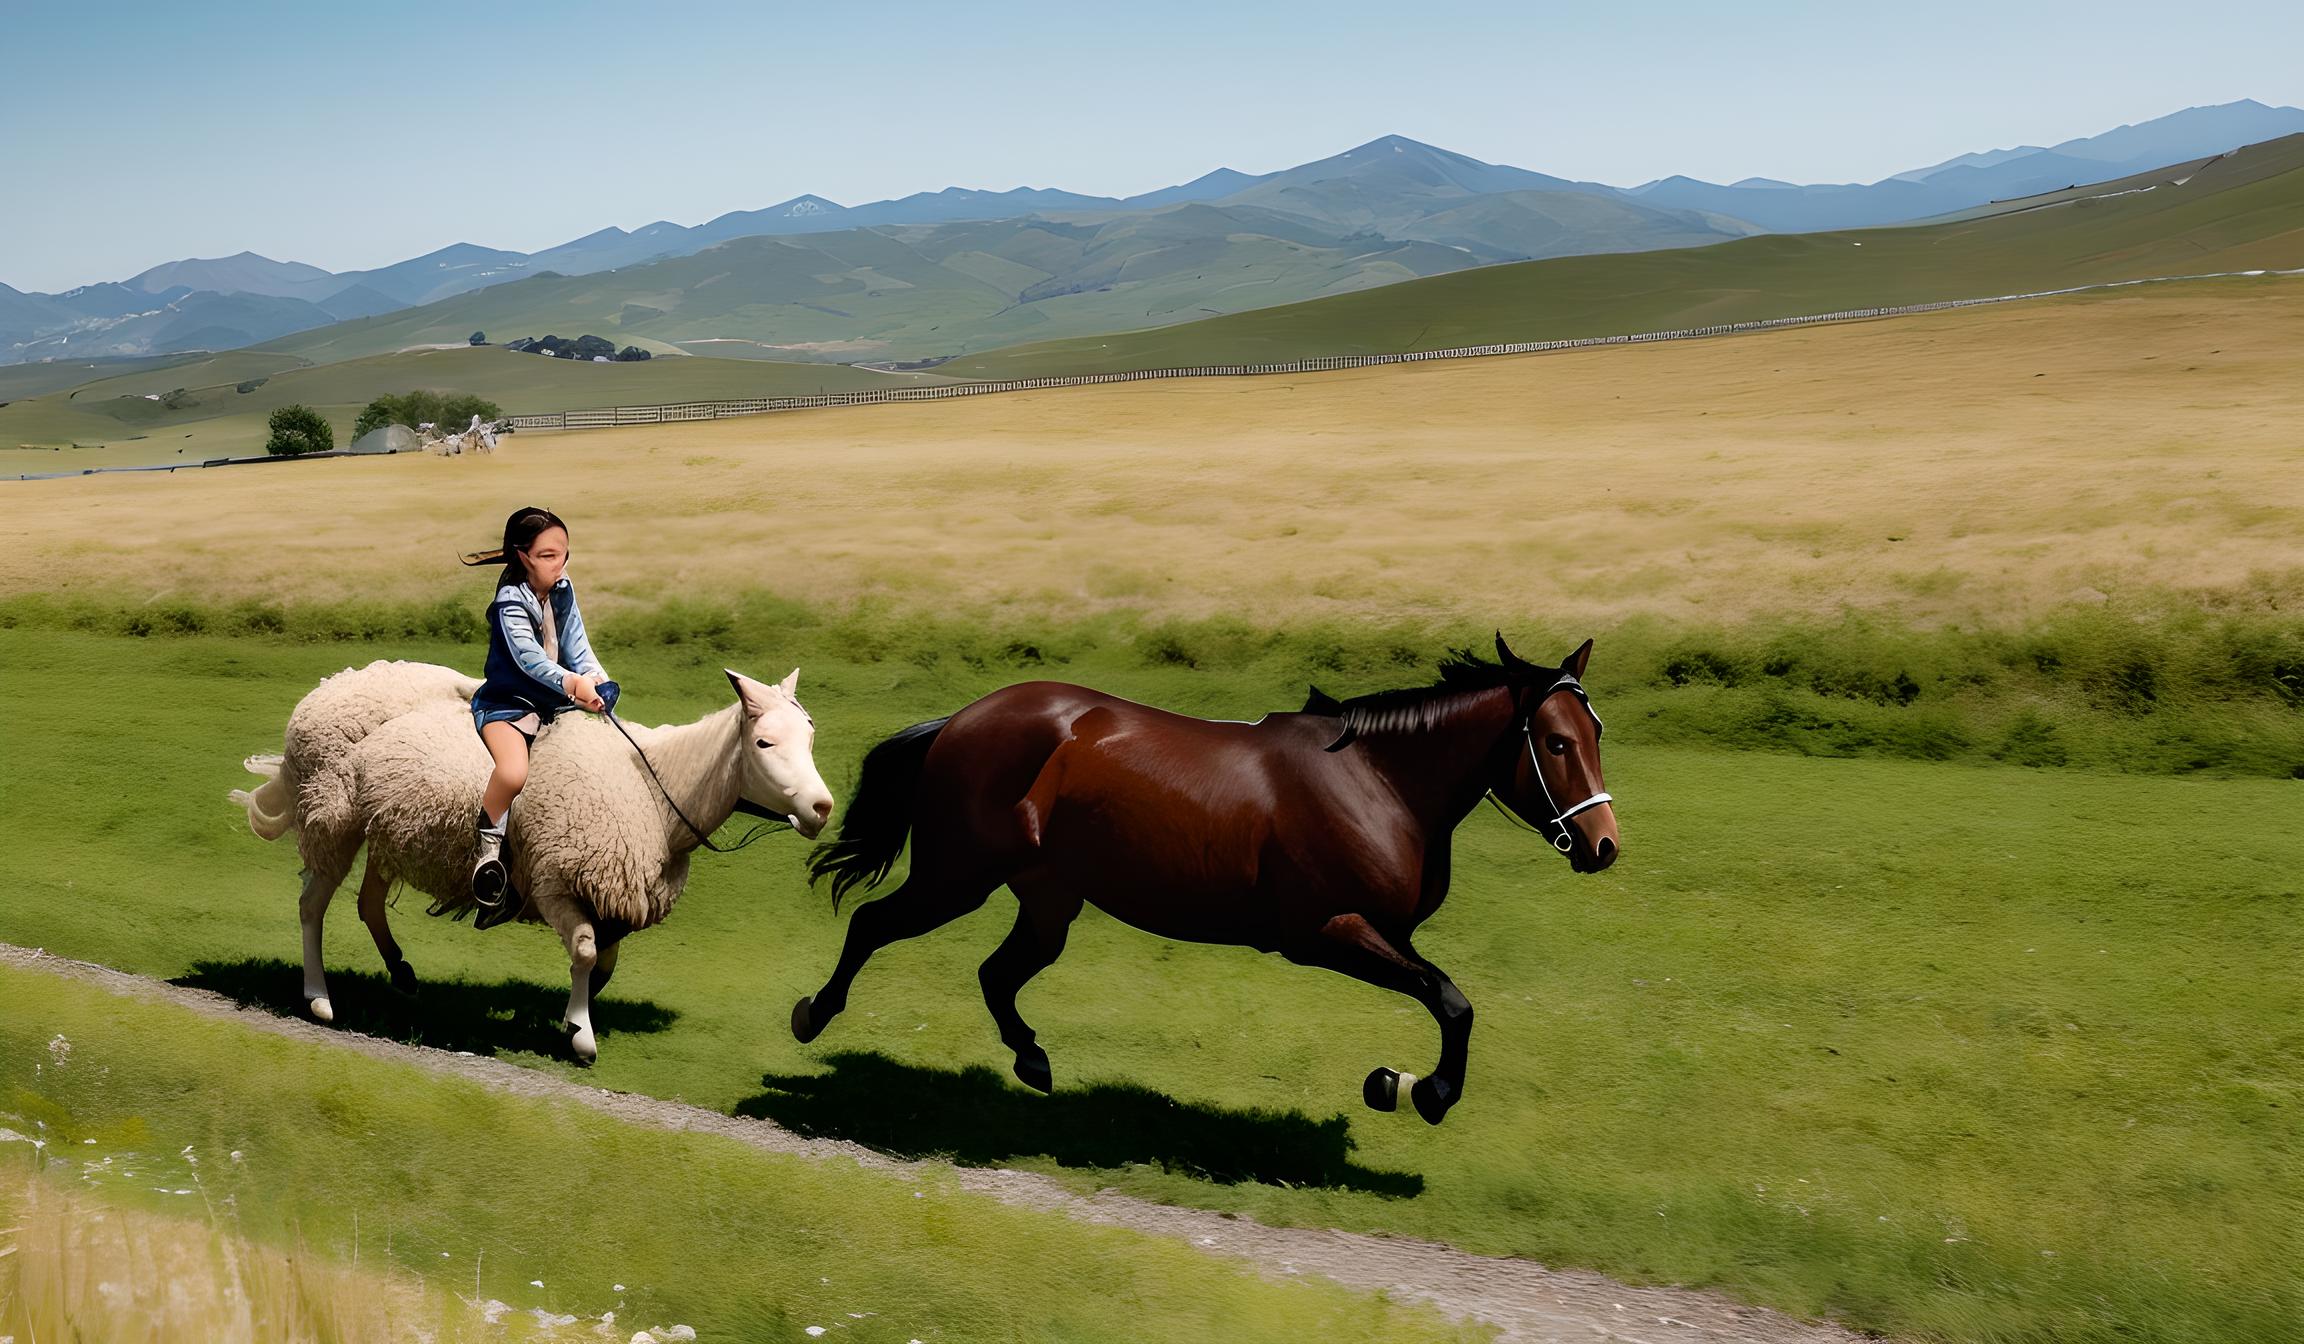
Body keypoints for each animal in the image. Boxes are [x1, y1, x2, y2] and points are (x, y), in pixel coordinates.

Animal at [224, 663, 834, 1060]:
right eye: (764, 743)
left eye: (809, 737)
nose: (822, 808)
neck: (654, 788)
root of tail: (325, 690)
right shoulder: (554, 880)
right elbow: (585, 952)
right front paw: (580, 1034)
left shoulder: (608, 893)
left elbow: (603, 963)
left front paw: (569, 1013)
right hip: (332, 816)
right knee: (312, 906)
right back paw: (319, 998)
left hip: (392, 824)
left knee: (369, 902)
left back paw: (400, 972)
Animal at [792, 636, 1622, 1120]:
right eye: (1554, 742)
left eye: (1596, 733)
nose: (1603, 843)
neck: (1377, 782)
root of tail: (960, 721)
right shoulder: (1327, 931)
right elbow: (1451, 999)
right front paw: (1421, 1090)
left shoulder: (1382, 933)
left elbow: (1449, 998)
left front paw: (1397, 1082)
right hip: (959, 876)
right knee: (873, 924)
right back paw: (811, 1015)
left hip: (1049, 899)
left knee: (997, 974)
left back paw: (1032, 1059)